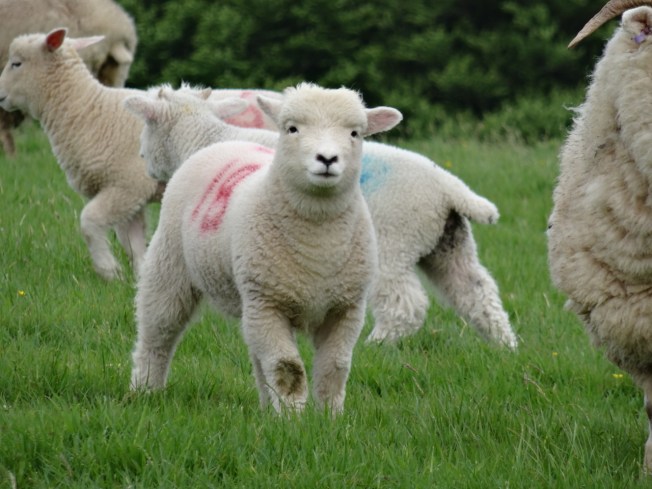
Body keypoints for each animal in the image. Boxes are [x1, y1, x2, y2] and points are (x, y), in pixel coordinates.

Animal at [124, 85, 518, 349]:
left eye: (146, 126)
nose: (142, 159)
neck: (202, 140)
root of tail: (450, 187)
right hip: (447, 242)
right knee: (476, 291)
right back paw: (505, 345)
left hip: (394, 242)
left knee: (405, 303)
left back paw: (376, 344)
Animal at [130, 83, 403, 413]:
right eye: (292, 128)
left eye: (355, 133)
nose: (327, 159)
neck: (319, 242)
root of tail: (221, 145)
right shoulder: (267, 302)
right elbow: (288, 368)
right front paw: (292, 418)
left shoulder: (346, 307)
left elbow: (335, 367)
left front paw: (329, 416)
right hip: (170, 265)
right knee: (157, 332)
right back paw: (146, 389)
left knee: (257, 355)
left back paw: (265, 407)